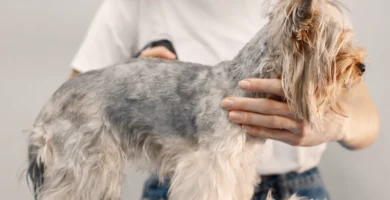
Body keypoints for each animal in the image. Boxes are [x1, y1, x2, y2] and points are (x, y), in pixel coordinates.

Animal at [26, 0, 366, 199]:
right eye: (338, 49)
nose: (363, 66)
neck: (239, 81)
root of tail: (49, 106)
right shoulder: (212, 166)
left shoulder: (238, 167)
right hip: (87, 162)